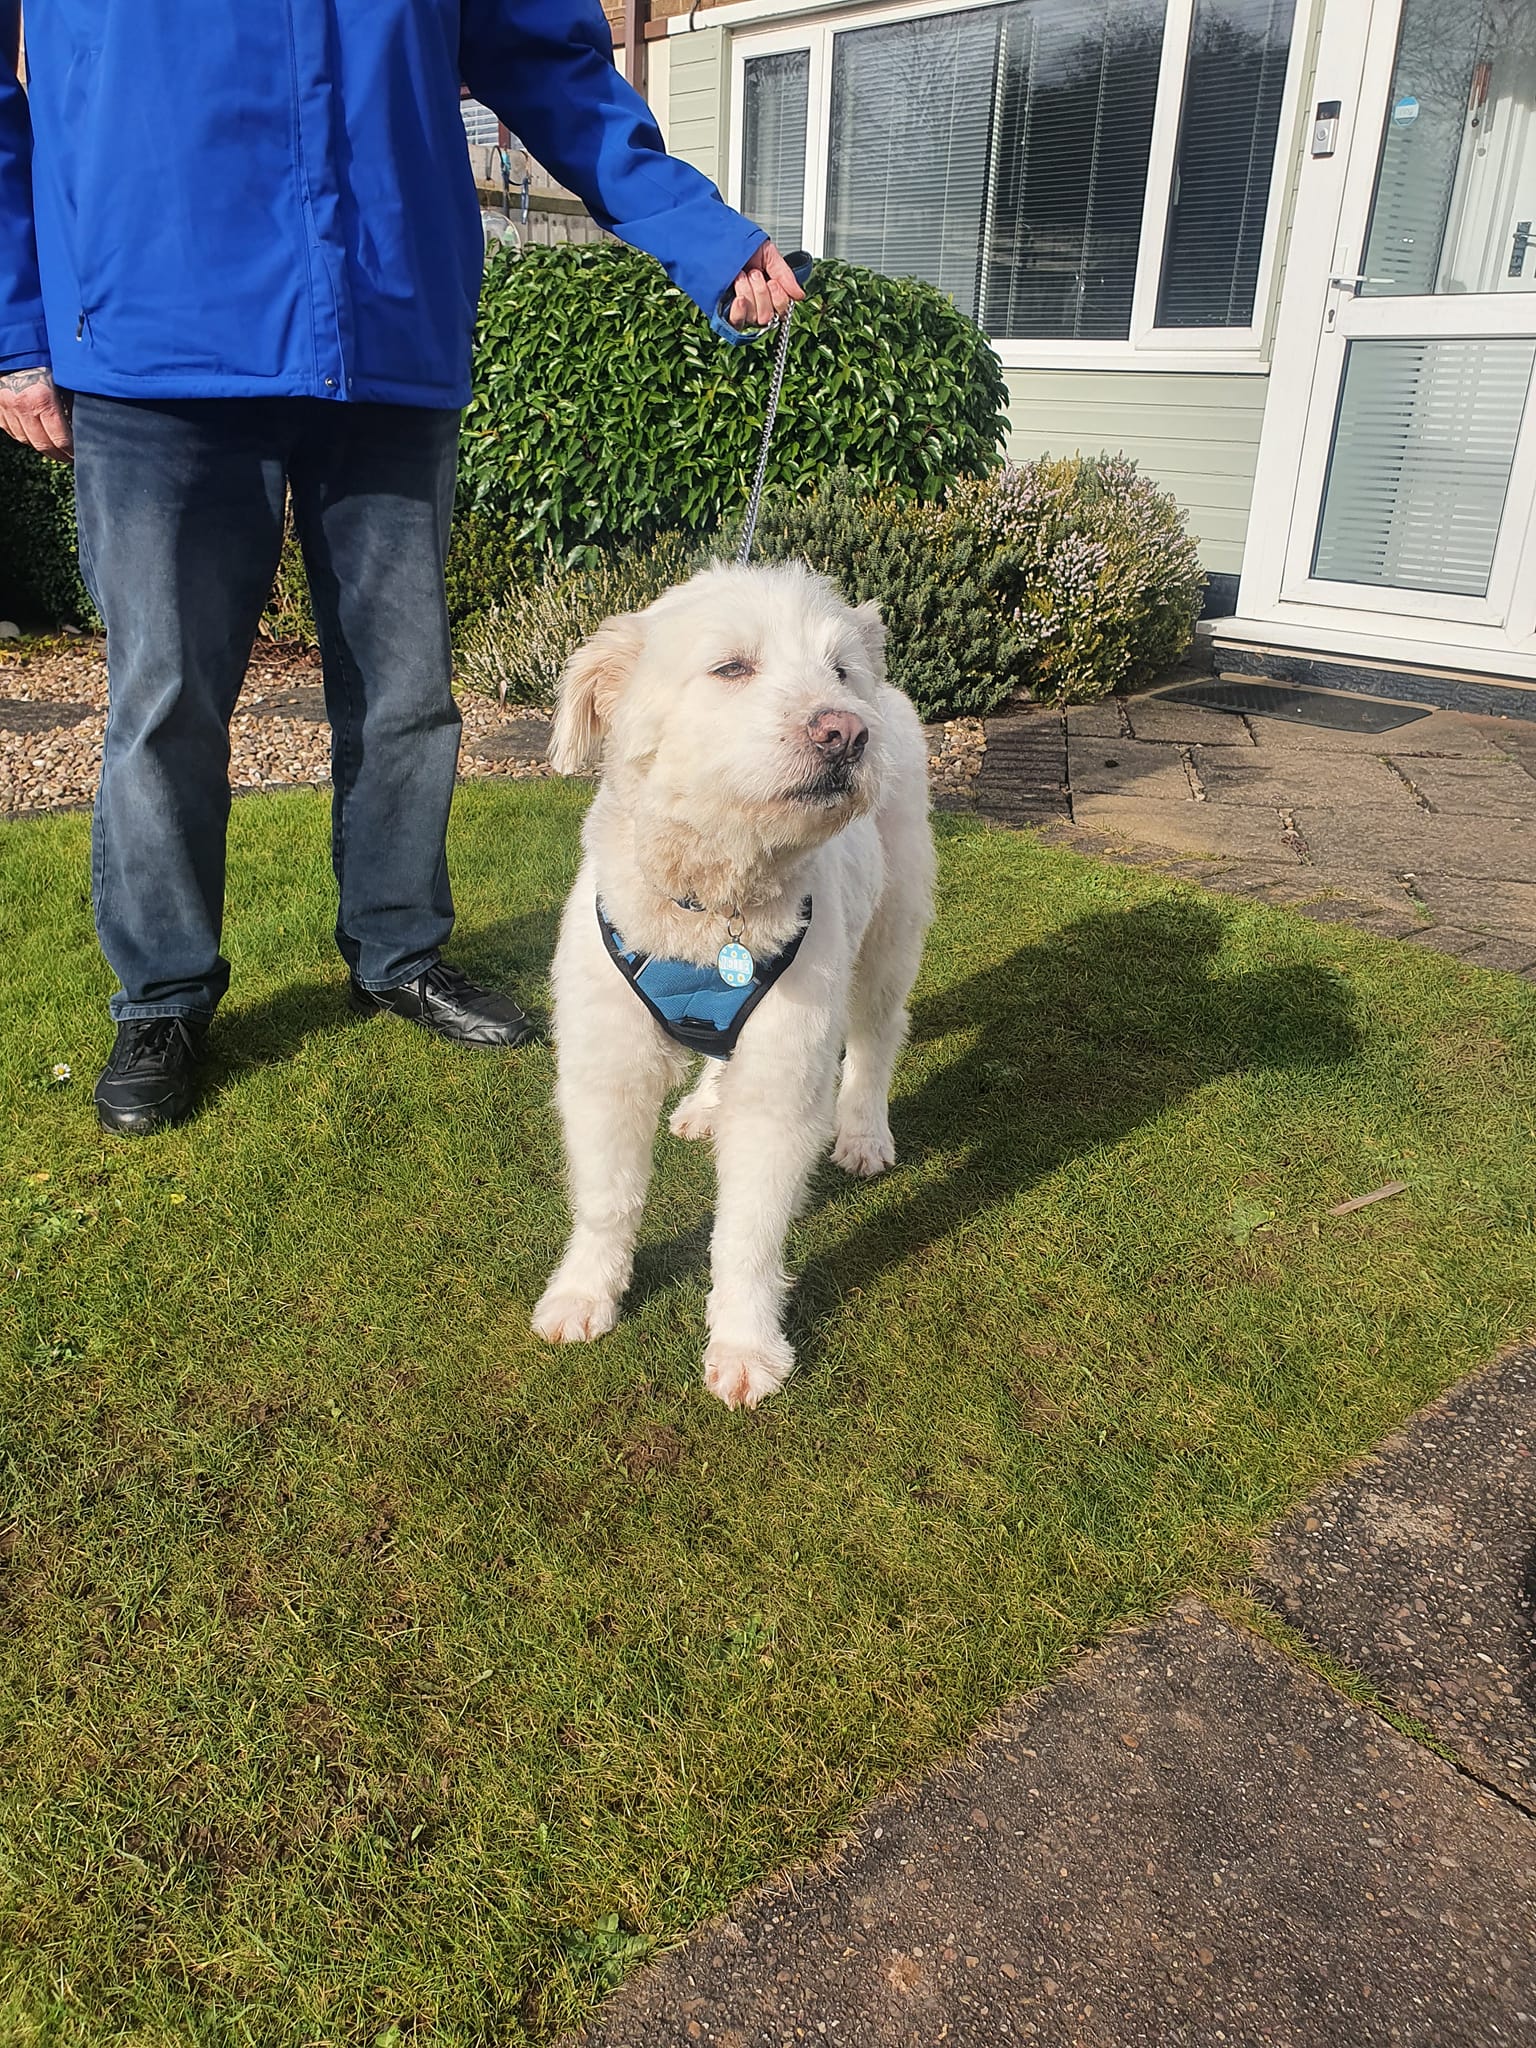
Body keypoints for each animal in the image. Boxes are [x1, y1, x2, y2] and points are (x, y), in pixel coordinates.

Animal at [528, 561, 937, 1409]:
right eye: (731, 668)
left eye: (837, 670)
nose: (846, 731)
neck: (711, 909)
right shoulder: (603, 1069)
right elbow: (607, 1198)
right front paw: (584, 1294)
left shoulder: (782, 1090)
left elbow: (747, 1233)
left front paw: (745, 1347)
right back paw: (704, 1105)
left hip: (890, 937)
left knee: (877, 1038)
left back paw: (863, 1133)